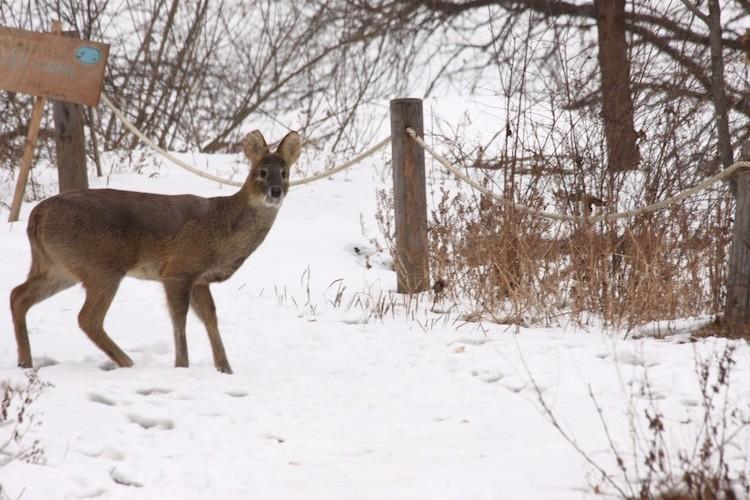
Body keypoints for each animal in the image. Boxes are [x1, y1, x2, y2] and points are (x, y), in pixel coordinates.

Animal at [10, 131, 302, 374]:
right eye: (261, 172)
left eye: (285, 172)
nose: (276, 190)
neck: (223, 230)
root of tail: (36, 216)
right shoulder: (178, 269)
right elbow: (179, 321)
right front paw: (182, 366)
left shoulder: (200, 279)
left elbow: (211, 319)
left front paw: (225, 369)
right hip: (101, 266)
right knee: (87, 318)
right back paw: (127, 362)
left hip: (58, 266)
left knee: (18, 295)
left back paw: (25, 361)